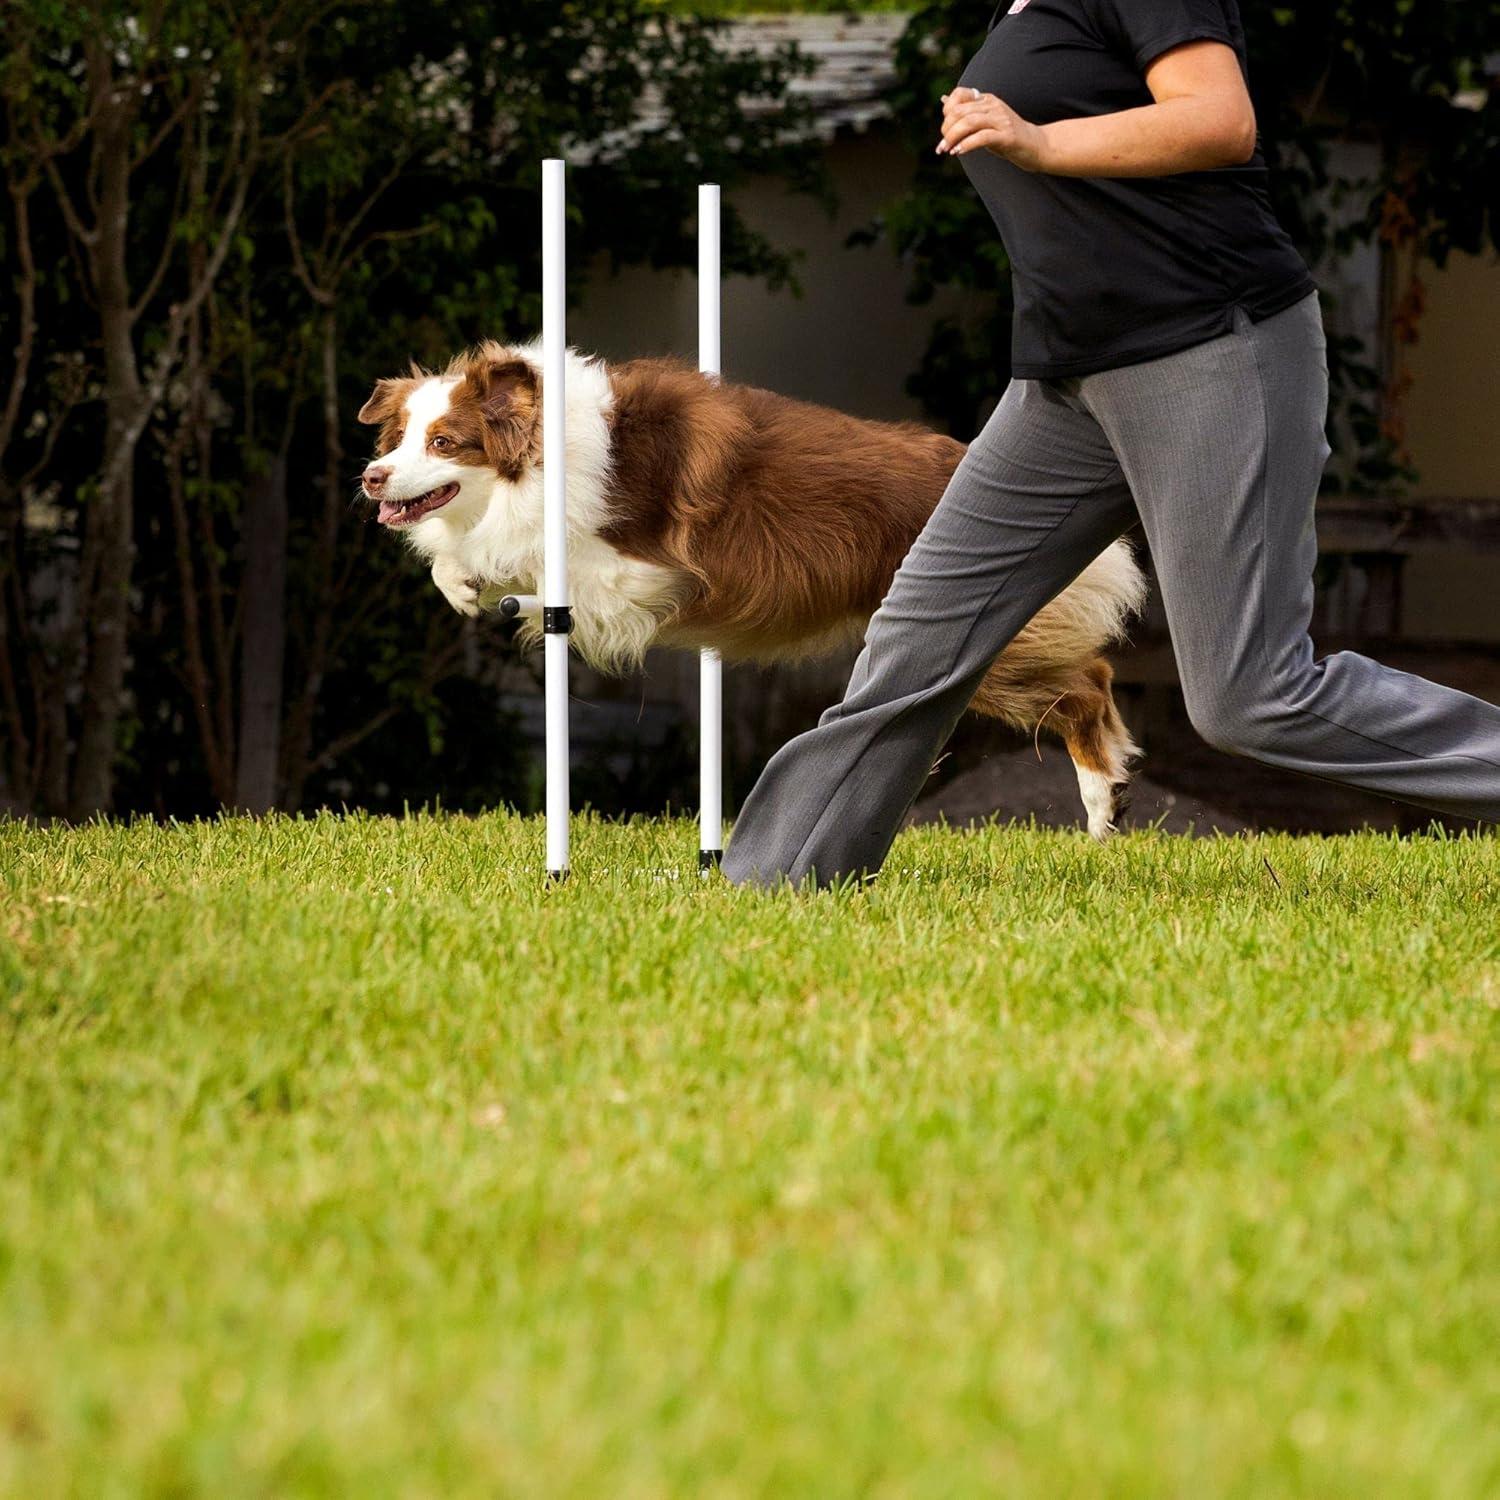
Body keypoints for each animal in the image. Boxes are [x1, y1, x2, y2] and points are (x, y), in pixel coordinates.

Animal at [360, 340, 1146, 840]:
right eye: (396, 439)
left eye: (444, 442)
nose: (370, 477)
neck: (546, 451)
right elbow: (465, 555)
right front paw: (461, 583)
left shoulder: (636, 569)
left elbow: (545, 565)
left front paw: (483, 573)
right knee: (1096, 676)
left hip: (975, 626)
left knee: (1087, 685)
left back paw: (1102, 799)